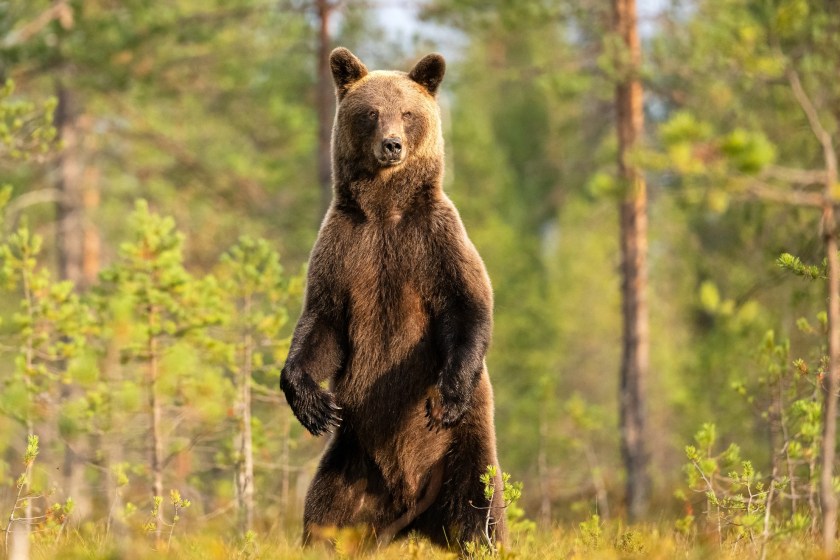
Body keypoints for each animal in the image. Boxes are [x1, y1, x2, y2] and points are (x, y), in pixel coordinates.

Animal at [280, 47, 507, 550]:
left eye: (407, 112)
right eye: (370, 113)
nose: (392, 145)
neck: (385, 211)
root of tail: (411, 513)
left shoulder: (433, 242)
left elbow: (468, 306)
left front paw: (446, 396)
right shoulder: (344, 249)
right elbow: (322, 326)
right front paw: (313, 404)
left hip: (465, 450)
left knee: (478, 512)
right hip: (350, 463)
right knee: (324, 516)